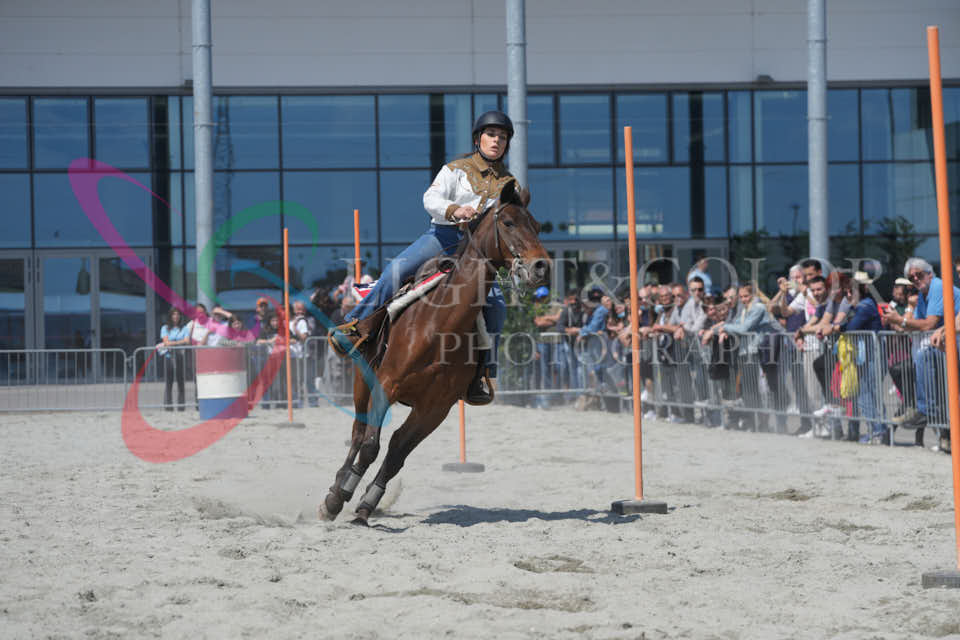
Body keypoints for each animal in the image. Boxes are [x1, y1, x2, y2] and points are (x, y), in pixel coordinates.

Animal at [320, 180, 550, 525]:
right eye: (509, 222)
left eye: (536, 226)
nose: (541, 266)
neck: (438, 327)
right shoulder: (385, 386)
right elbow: (372, 446)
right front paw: (340, 497)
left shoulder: (435, 408)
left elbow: (397, 451)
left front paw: (367, 503)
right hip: (362, 381)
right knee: (359, 434)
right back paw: (336, 489)